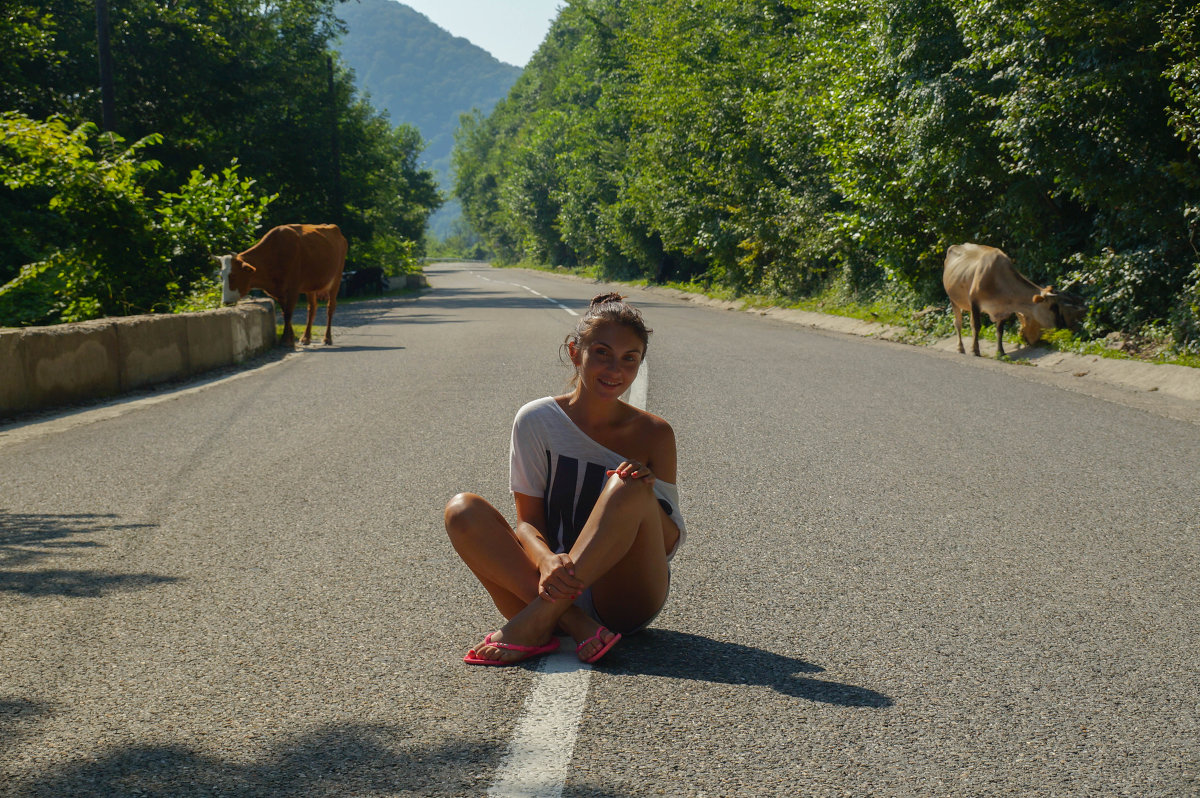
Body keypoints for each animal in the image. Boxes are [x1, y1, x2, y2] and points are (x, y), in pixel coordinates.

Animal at [218, 224, 348, 348]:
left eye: (233, 275)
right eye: (221, 276)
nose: (226, 302)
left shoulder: (293, 288)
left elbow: (288, 313)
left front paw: (285, 340)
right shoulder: (278, 292)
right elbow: (285, 312)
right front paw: (290, 338)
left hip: (336, 279)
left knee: (330, 308)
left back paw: (327, 338)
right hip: (311, 286)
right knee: (312, 308)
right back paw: (306, 338)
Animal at [940, 241, 1075, 355]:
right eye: (1053, 307)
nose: (1062, 325)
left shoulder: (1003, 309)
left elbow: (1000, 330)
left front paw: (1000, 351)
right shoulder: (975, 302)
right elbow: (977, 326)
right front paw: (975, 350)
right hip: (953, 300)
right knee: (958, 323)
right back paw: (960, 348)